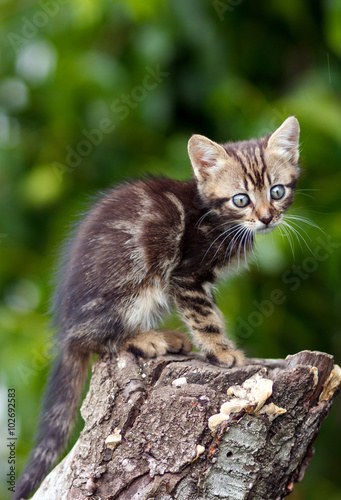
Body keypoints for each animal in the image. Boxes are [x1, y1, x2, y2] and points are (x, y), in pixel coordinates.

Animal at [14, 116, 298, 496]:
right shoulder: (185, 275)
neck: (215, 216)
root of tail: (65, 330)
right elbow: (205, 316)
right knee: (98, 337)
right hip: (138, 283)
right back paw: (147, 338)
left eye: (277, 191)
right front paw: (224, 352)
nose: (267, 218)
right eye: (241, 199)